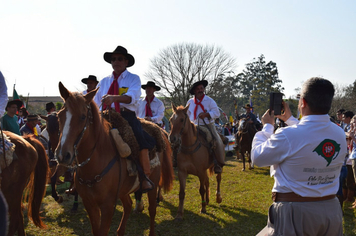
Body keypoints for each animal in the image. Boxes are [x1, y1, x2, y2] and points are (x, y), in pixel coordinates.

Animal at [54, 83, 174, 236]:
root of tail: (160, 133)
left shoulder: (108, 205)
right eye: (59, 116)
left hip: (153, 182)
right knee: (128, 205)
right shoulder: (89, 204)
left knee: (152, 210)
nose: (63, 155)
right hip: (124, 190)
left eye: (83, 117)